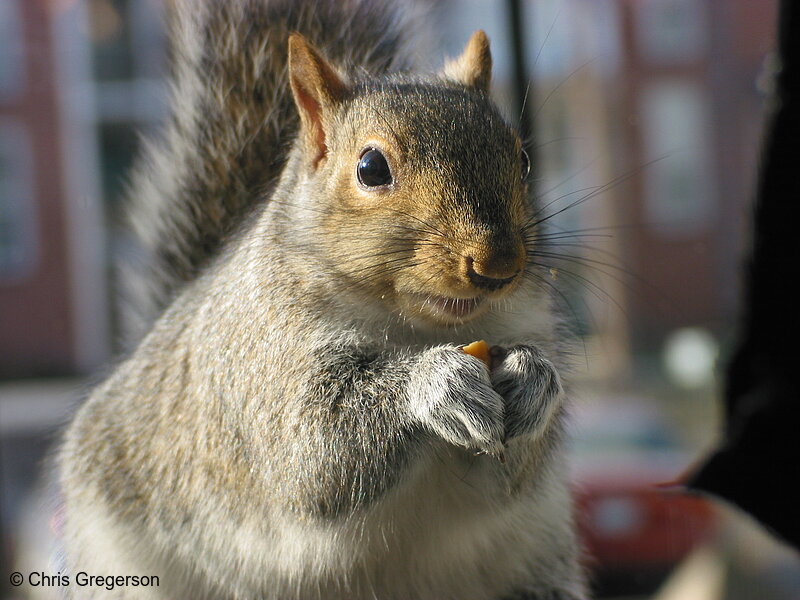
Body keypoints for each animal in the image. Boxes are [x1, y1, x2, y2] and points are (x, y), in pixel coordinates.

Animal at [57, 1, 588, 600]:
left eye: (522, 159)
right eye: (371, 168)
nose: (498, 266)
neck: (416, 327)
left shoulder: (528, 325)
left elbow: (513, 474)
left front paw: (533, 380)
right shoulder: (261, 363)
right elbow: (312, 449)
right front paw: (435, 383)